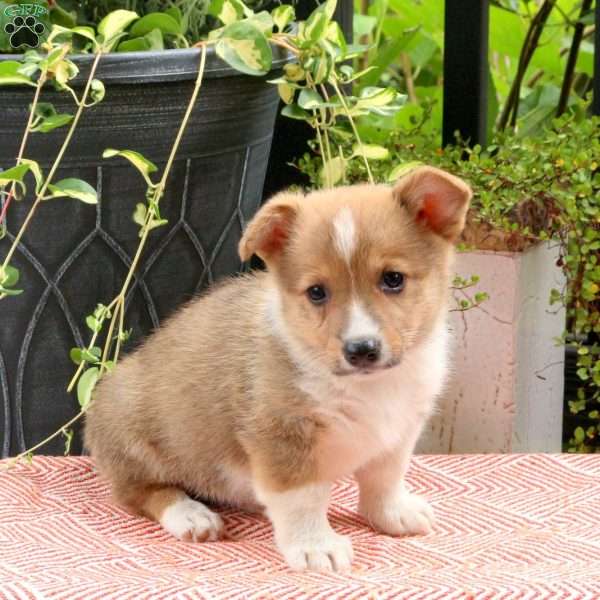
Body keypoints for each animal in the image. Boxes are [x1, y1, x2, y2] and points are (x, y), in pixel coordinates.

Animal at [82, 166, 472, 568]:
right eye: (317, 292)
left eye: (393, 279)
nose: (361, 349)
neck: (368, 387)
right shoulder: (283, 438)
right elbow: (303, 500)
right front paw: (315, 547)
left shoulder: (396, 435)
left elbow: (384, 480)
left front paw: (393, 515)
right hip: (133, 442)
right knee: (141, 492)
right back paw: (191, 516)